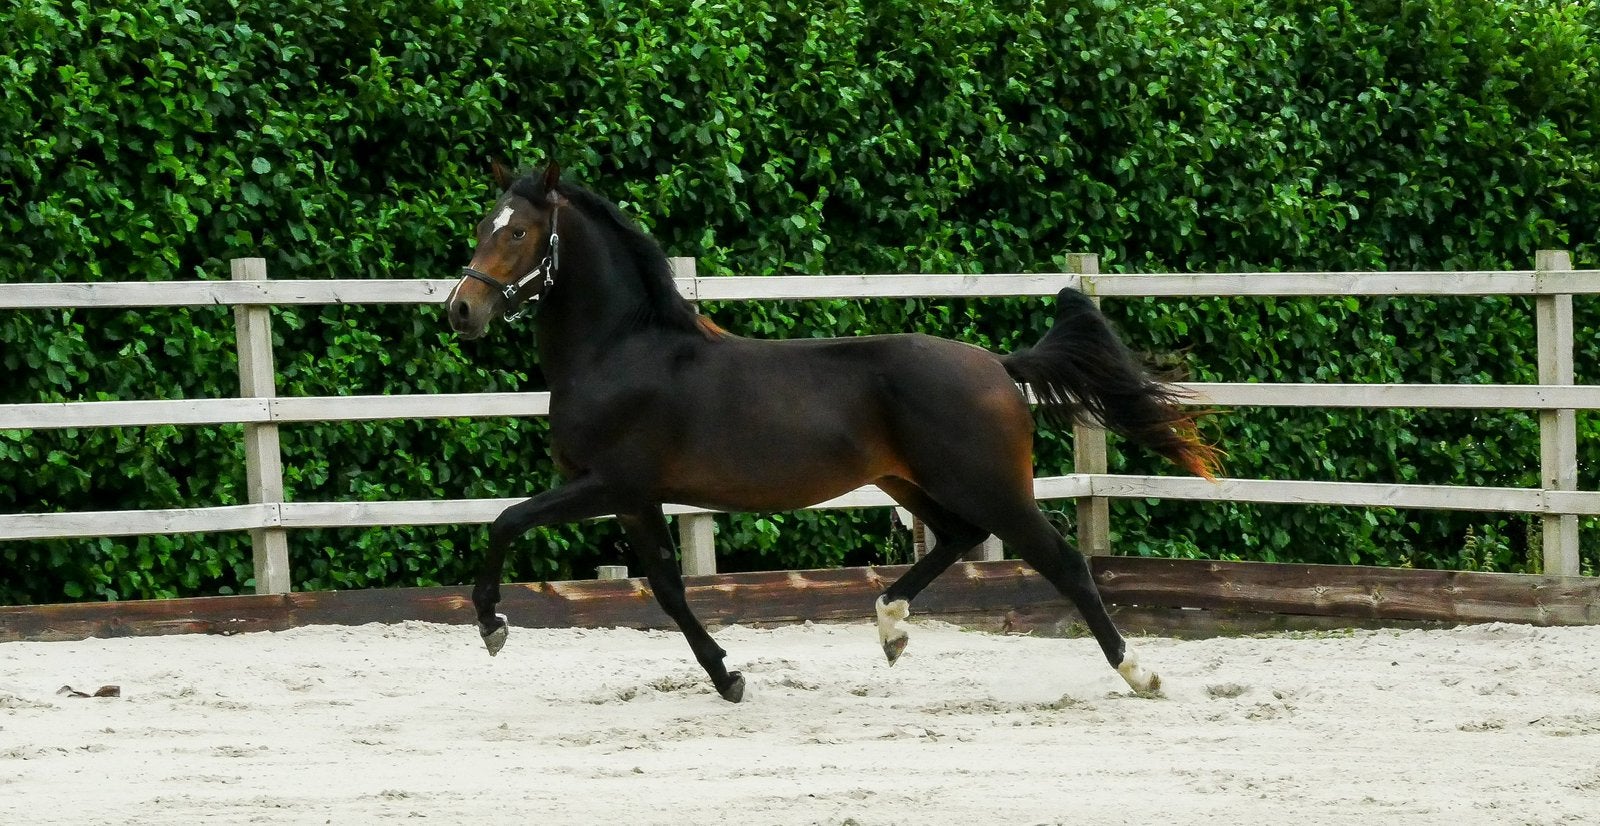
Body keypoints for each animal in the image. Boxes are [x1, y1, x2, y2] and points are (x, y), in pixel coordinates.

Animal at [445, 161, 1218, 703]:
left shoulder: (609, 484)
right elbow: (666, 586)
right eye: (484, 225)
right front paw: (728, 678)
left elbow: (506, 521)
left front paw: (492, 626)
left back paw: (1140, 674)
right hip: (909, 480)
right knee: (958, 537)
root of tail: (998, 366)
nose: (462, 310)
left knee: (1064, 561)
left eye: (518, 232)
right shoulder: (635, 499)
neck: (623, 351)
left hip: (990, 486)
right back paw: (891, 626)